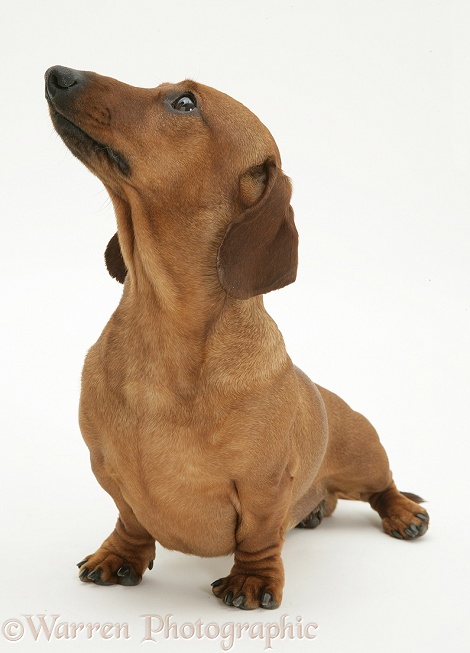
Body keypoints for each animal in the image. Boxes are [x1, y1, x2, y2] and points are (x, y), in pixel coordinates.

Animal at [46, 63, 428, 608]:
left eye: (184, 103)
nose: (58, 73)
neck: (163, 333)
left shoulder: (264, 486)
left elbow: (260, 535)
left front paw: (253, 578)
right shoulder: (110, 473)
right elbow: (131, 520)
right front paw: (119, 555)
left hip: (364, 454)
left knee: (383, 487)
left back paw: (403, 513)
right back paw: (316, 509)